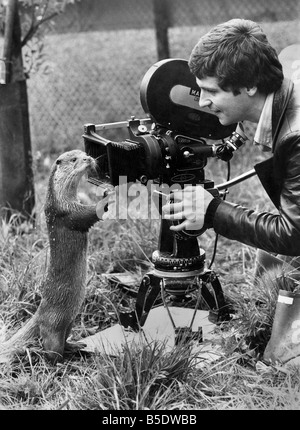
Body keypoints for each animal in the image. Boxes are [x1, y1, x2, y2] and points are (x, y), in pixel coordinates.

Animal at [0, 149, 108, 364]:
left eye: (84, 153)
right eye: (74, 159)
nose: (88, 159)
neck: (58, 199)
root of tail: (39, 313)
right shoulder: (66, 212)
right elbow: (88, 215)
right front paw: (108, 197)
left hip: (70, 321)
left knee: (64, 340)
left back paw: (75, 345)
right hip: (54, 323)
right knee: (51, 349)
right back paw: (40, 354)